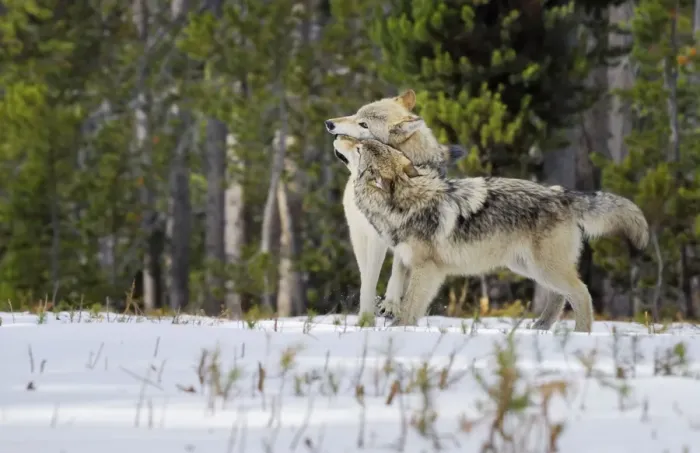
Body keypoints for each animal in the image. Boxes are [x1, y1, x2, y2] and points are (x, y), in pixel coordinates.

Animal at [325, 90, 464, 320]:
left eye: (364, 124)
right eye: (356, 114)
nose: (330, 124)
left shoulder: (398, 233)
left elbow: (397, 270)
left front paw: (389, 304)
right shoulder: (359, 234)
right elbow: (367, 276)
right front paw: (368, 310)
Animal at [332, 133, 649, 332]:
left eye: (360, 147)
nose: (336, 135)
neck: (404, 203)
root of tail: (563, 194)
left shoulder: (428, 269)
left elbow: (410, 305)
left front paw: (398, 331)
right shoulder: (411, 264)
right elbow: (402, 299)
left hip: (543, 268)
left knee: (581, 293)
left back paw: (581, 334)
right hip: (529, 267)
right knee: (559, 297)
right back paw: (542, 328)